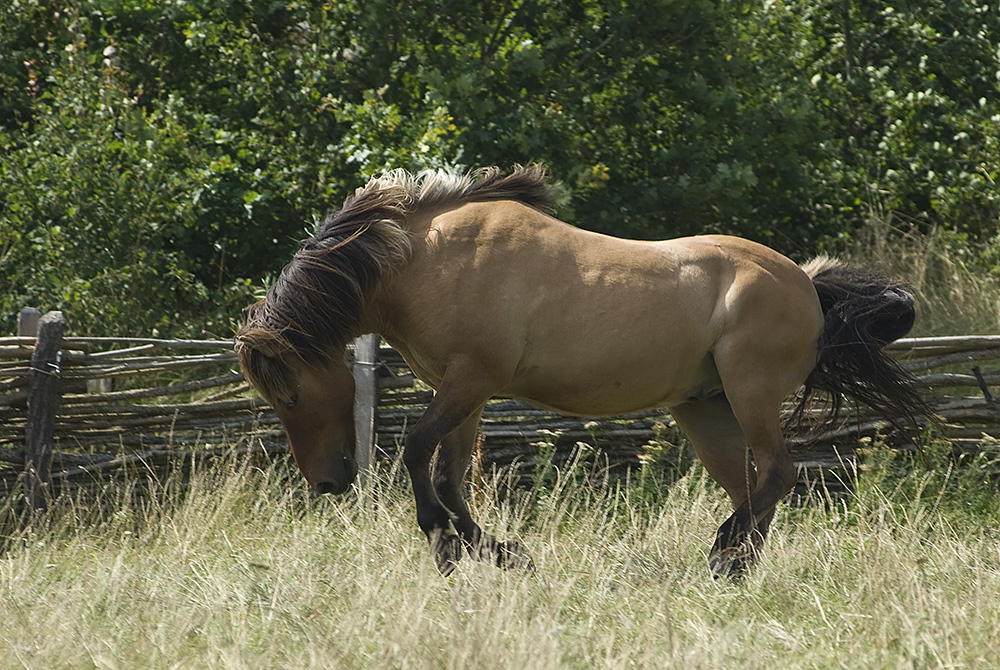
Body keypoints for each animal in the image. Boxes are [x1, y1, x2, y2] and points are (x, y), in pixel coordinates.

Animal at [236, 164, 928, 576]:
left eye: (290, 396)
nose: (328, 482)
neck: (420, 258)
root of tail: (808, 286)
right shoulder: (464, 391)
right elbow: (453, 475)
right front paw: (498, 552)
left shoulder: (470, 381)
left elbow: (418, 454)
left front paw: (447, 545)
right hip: (704, 407)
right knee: (754, 488)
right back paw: (728, 565)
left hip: (748, 394)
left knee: (778, 475)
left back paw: (721, 555)